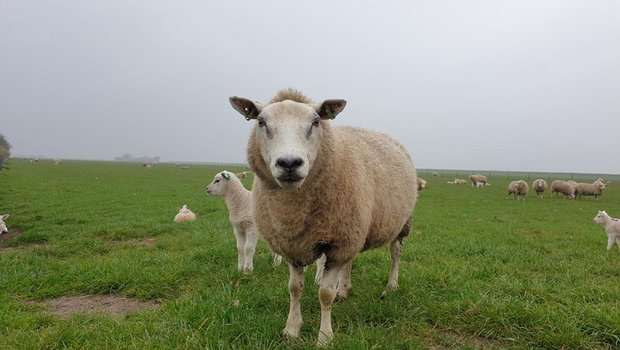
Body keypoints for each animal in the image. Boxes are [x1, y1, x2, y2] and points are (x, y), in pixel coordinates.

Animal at [230, 89, 418, 346]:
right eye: (261, 122)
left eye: (316, 122)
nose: (289, 163)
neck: (293, 212)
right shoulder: (294, 245)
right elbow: (294, 288)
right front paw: (292, 329)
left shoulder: (337, 244)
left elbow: (325, 294)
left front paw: (325, 337)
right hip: (354, 228)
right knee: (351, 261)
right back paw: (345, 290)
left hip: (400, 223)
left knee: (395, 254)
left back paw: (391, 286)